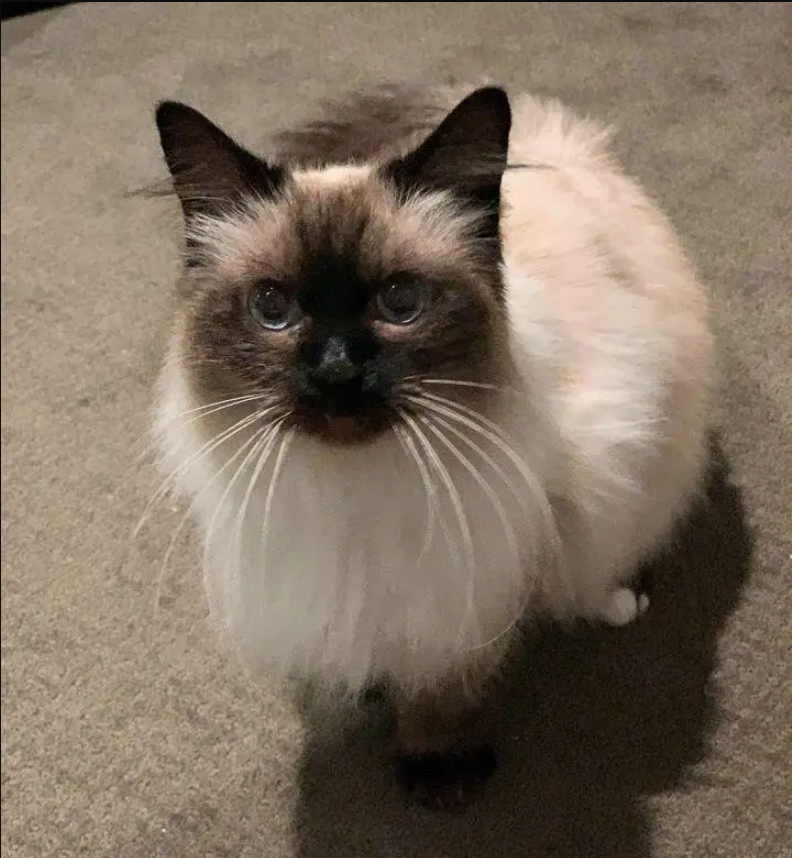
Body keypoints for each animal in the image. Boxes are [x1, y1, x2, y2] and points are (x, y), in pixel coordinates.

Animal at [150, 83, 716, 804]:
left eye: (401, 302)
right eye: (273, 309)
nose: (336, 372)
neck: (355, 493)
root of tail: (549, 136)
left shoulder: (471, 579)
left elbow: (446, 682)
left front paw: (440, 771)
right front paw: (377, 693)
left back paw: (619, 601)